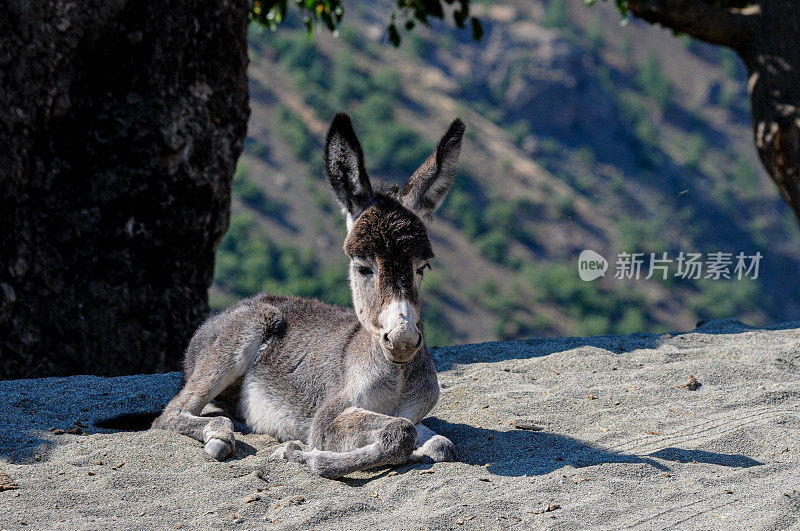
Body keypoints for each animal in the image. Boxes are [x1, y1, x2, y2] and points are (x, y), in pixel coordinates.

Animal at [152, 112, 462, 478]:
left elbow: (440, 443)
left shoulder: (416, 413)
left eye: (422, 267)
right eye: (362, 267)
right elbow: (398, 430)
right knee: (170, 413)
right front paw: (303, 456)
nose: (402, 340)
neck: (396, 375)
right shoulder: (328, 417)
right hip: (234, 344)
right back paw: (220, 437)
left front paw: (422, 451)